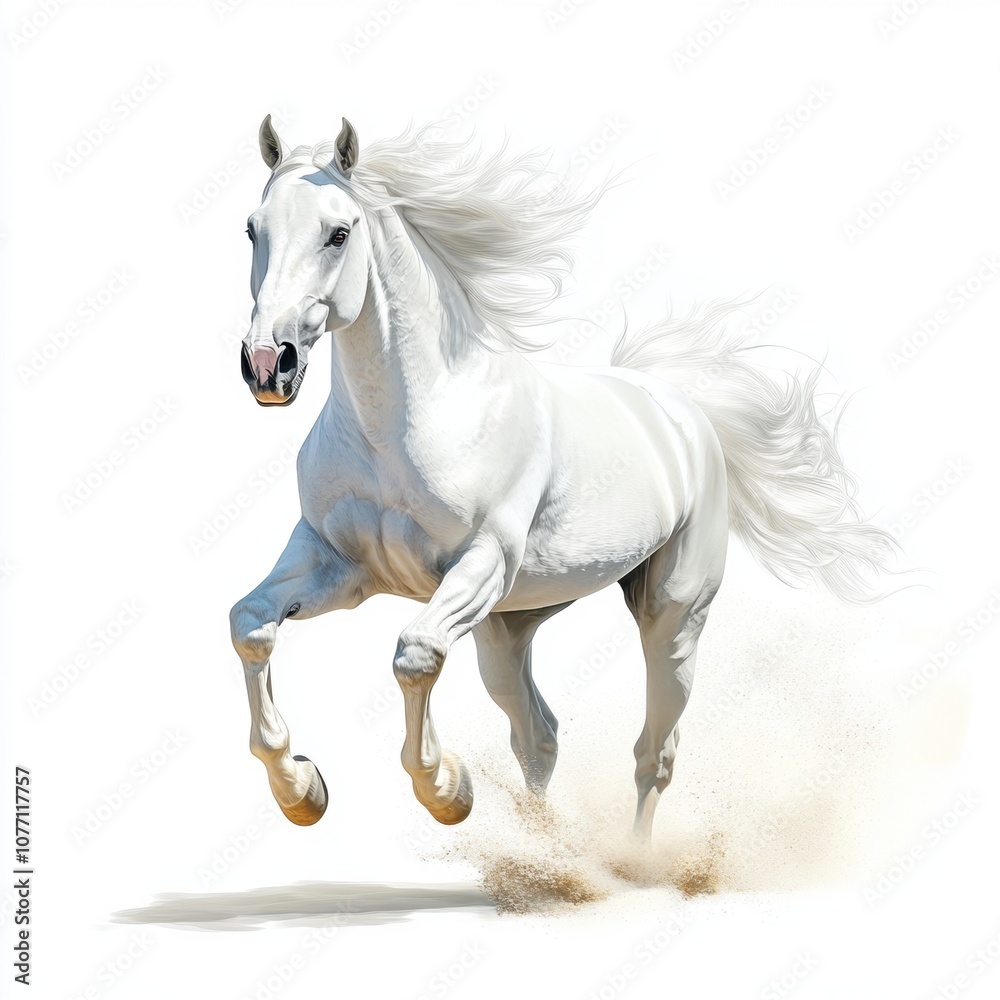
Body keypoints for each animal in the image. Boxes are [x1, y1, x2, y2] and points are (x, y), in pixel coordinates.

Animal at [229, 116, 896, 841]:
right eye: (253, 229)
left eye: (339, 233)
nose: (267, 365)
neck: (407, 422)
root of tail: (682, 411)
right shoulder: (336, 563)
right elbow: (250, 623)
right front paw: (302, 789)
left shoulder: (478, 564)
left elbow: (414, 654)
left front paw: (448, 790)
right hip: (509, 625)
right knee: (538, 735)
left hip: (672, 616)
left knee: (654, 752)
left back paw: (627, 859)